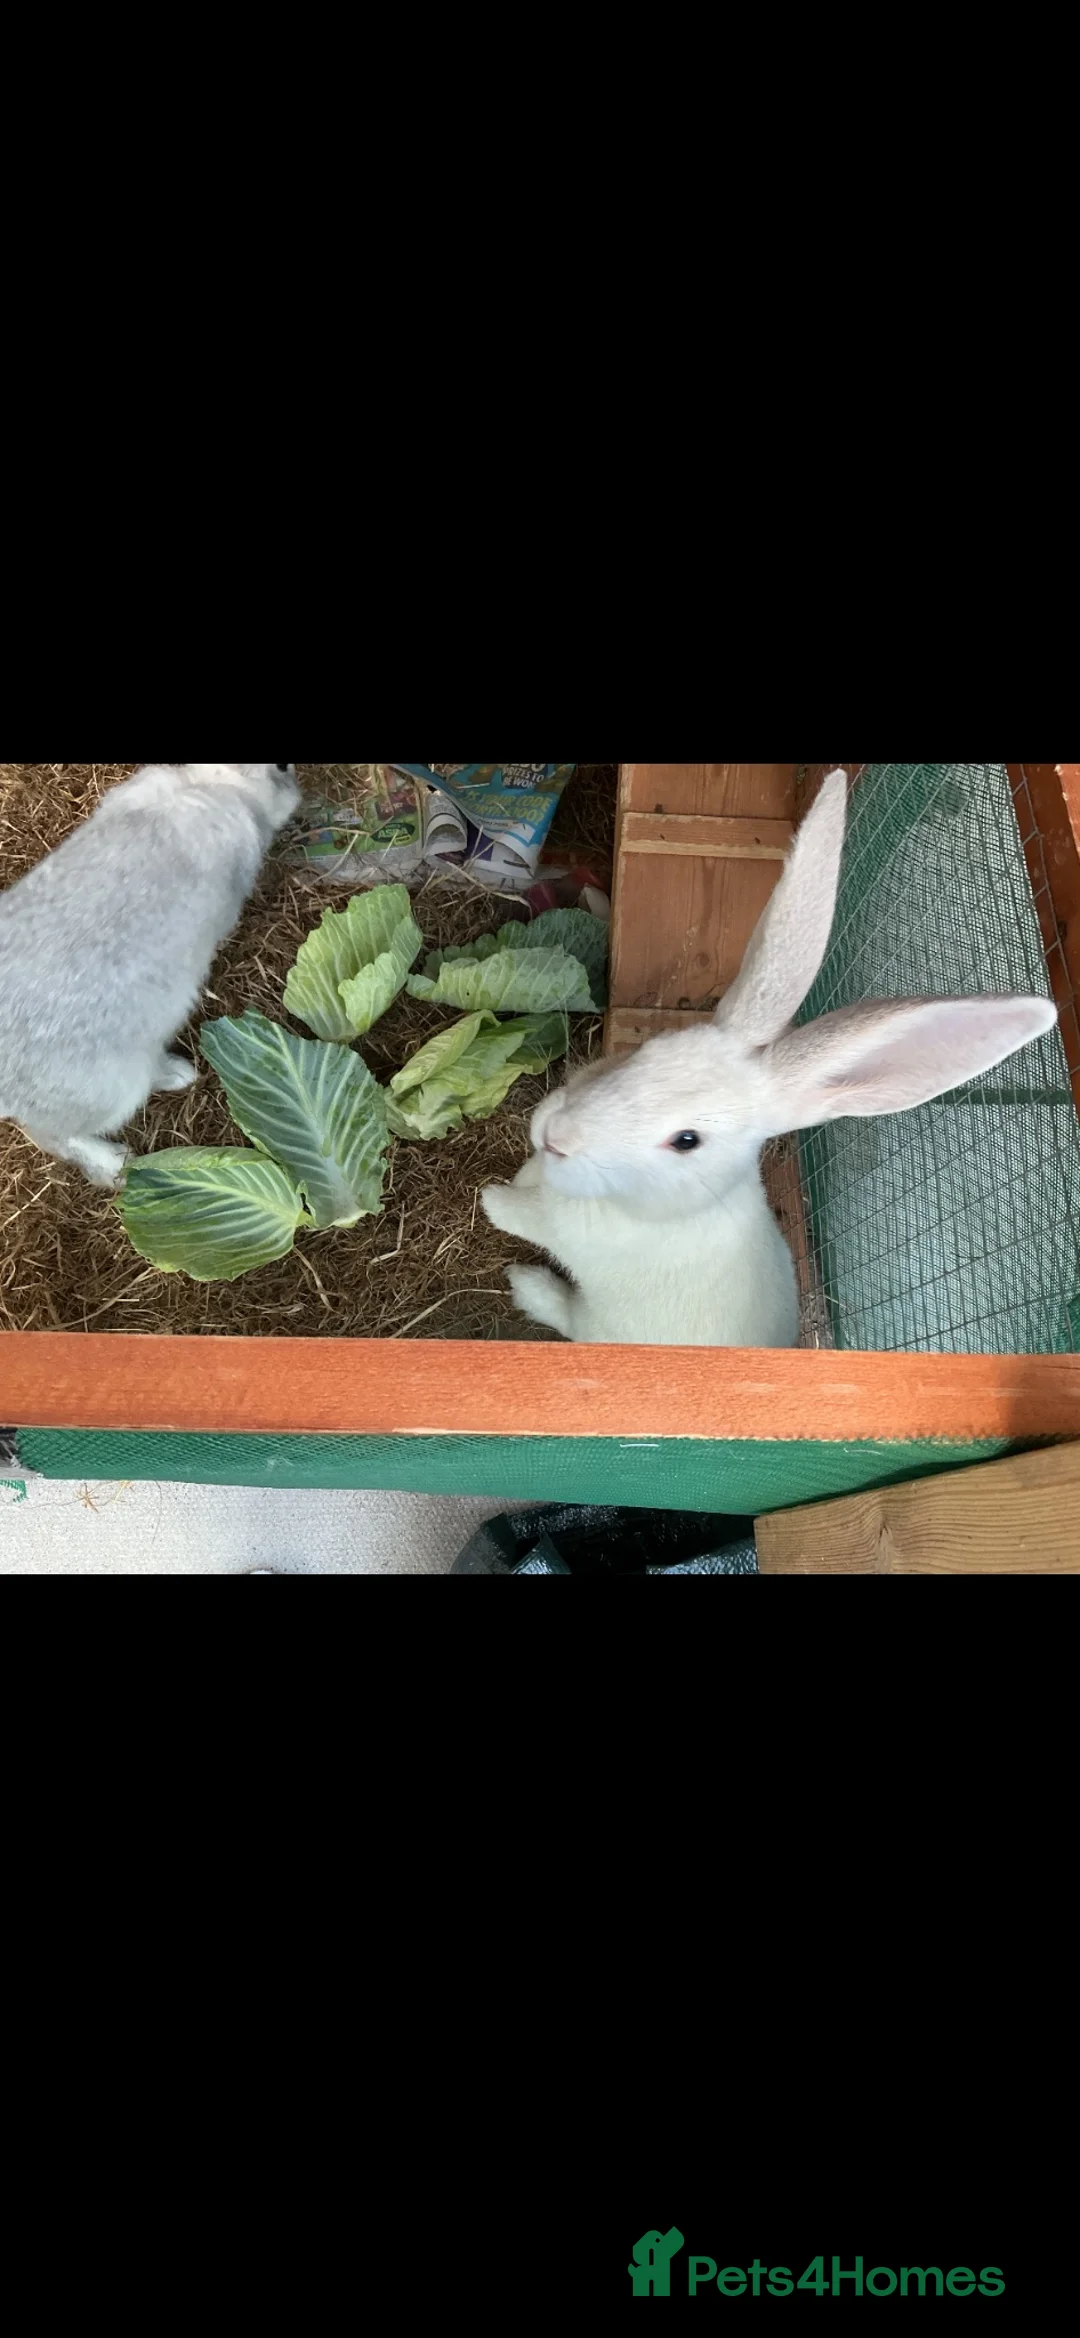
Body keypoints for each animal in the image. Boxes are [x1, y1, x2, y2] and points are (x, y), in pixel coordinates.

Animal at [0, 763, 301, 1186]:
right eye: (281, 769)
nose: (294, 780)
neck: (211, 783)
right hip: (110, 1087)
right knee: (56, 1137)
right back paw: (117, 1161)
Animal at [482, 769, 1059, 1346]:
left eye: (687, 1141)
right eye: (646, 1049)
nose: (556, 1135)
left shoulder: (566, 1227)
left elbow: (520, 1214)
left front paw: (490, 1197)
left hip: (600, 1324)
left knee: (569, 1316)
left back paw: (528, 1284)